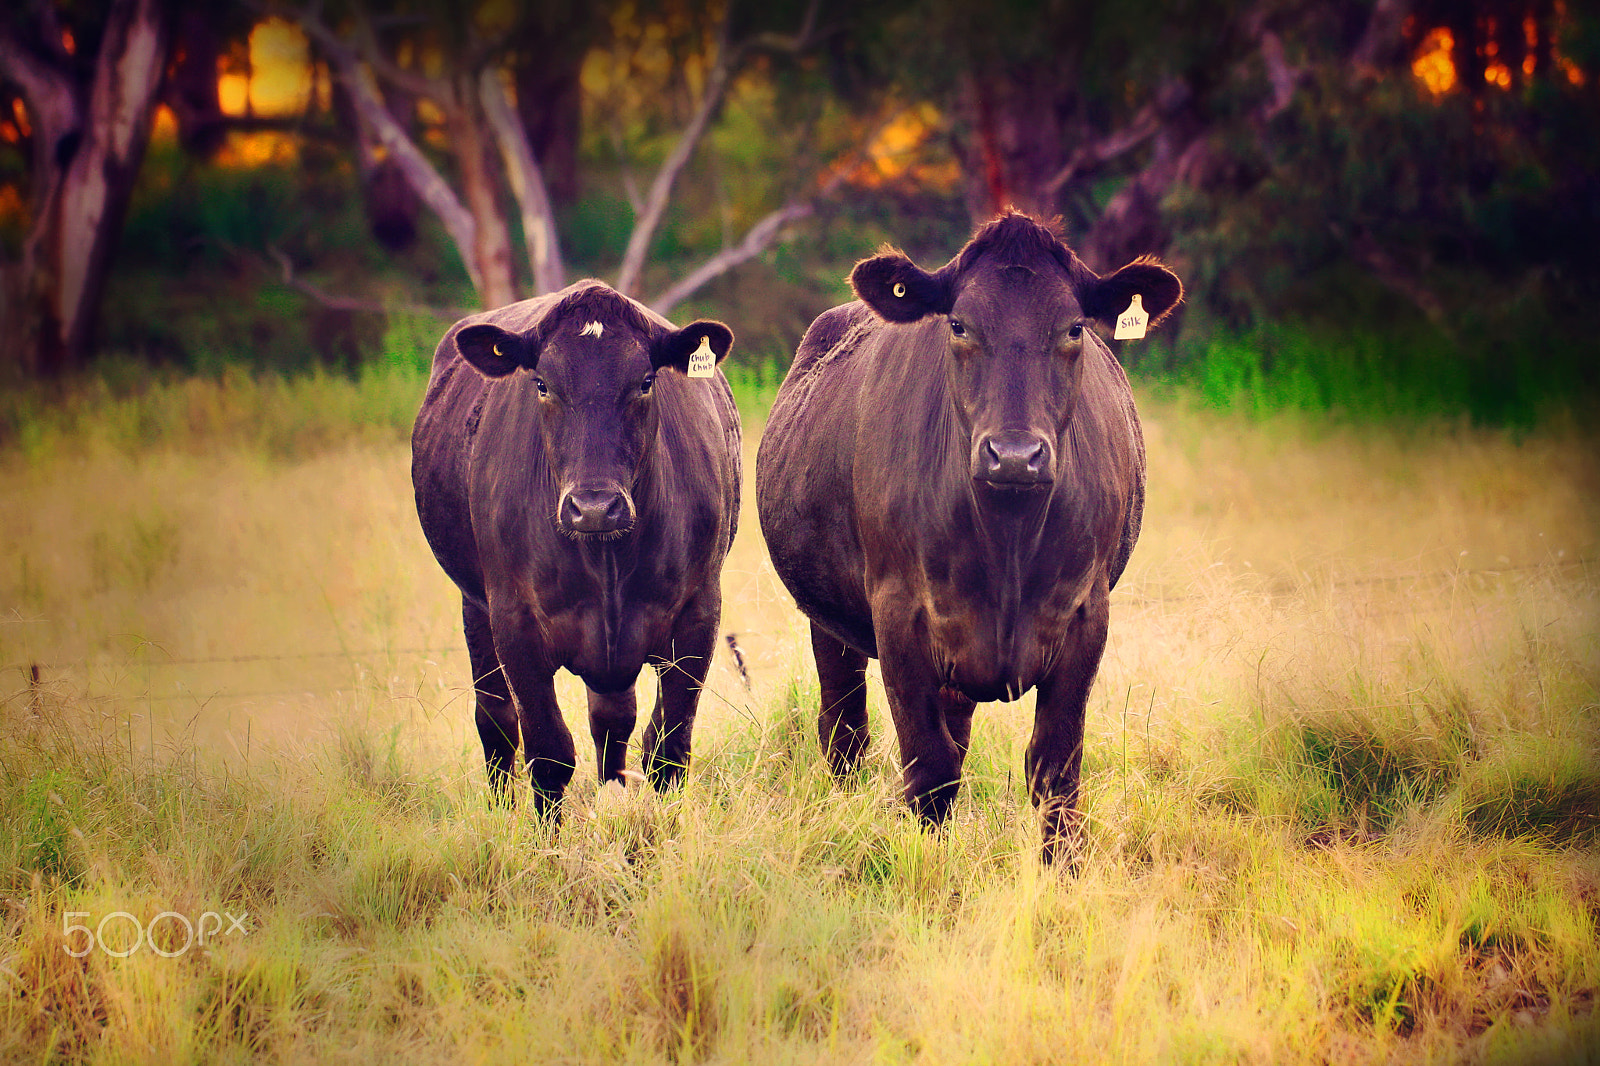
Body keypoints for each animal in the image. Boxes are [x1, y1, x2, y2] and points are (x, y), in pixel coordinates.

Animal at [409, 278, 739, 809]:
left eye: (645, 381)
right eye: (543, 384)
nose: (595, 506)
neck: (607, 559)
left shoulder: (699, 612)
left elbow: (668, 746)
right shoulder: (514, 621)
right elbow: (548, 751)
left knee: (611, 720)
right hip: (474, 608)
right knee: (495, 719)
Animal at [755, 209, 1184, 864]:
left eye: (1075, 328)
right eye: (958, 324)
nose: (1015, 454)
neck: (1007, 540)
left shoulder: (1087, 613)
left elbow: (1055, 768)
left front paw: (1061, 872)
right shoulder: (898, 613)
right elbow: (928, 768)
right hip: (829, 622)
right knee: (844, 732)